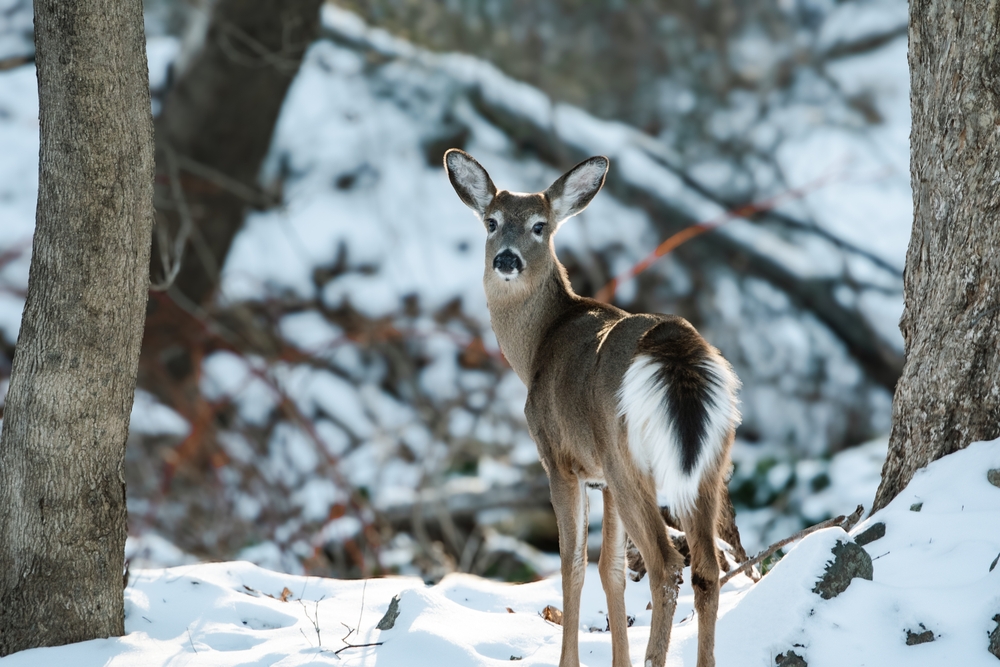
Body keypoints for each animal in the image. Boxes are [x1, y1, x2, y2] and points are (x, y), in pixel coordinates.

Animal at [444, 149, 741, 667]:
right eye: (491, 221)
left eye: (540, 226)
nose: (506, 259)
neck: (536, 347)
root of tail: (676, 347)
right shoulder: (599, 474)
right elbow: (612, 571)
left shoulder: (560, 458)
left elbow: (574, 565)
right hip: (710, 461)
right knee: (706, 566)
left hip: (630, 458)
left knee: (667, 564)